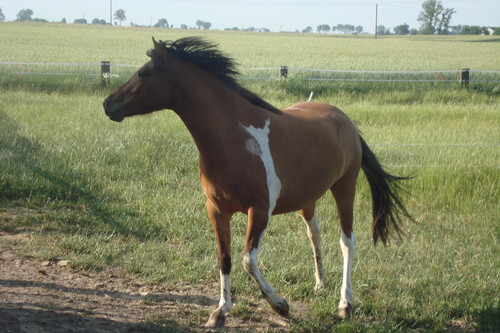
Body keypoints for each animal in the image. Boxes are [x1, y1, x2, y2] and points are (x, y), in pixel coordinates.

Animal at [103, 37, 412, 326]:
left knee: (347, 241)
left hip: (345, 187)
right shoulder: (216, 209)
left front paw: (280, 305)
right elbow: (224, 258)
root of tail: (345, 119)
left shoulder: (260, 210)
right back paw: (320, 283)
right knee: (314, 232)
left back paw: (344, 303)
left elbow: (247, 260)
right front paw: (220, 311)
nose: (108, 104)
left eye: (143, 73)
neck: (234, 138)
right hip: (308, 198)